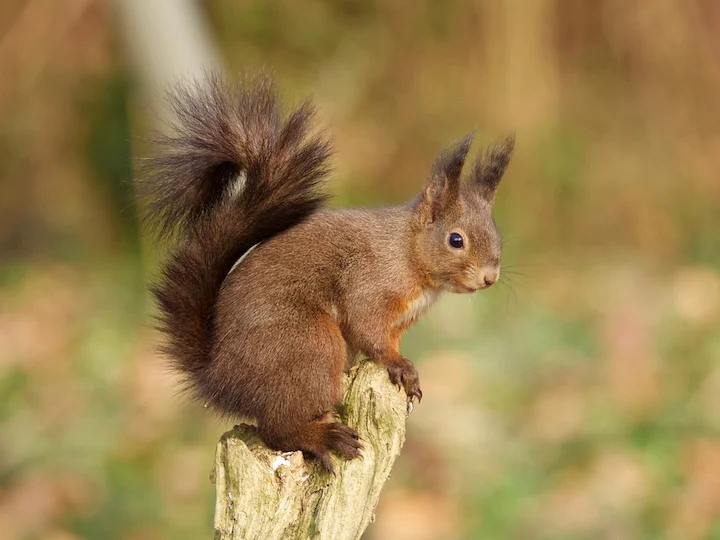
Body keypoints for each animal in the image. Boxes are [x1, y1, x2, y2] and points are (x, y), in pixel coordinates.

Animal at [140, 74, 514, 473]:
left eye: (495, 232)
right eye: (455, 240)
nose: (489, 277)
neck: (408, 255)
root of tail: (219, 378)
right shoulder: (369, 282)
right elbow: (368, 330)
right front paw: (400, 365)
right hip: (309, 347)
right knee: (278, 430)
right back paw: (322, 438)